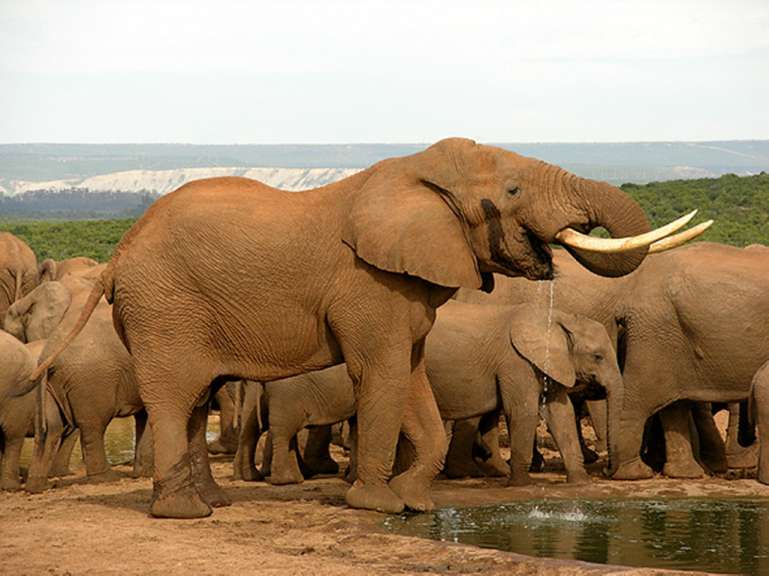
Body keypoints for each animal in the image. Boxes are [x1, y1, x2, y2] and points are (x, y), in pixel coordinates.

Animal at [3, 276, 152, 490]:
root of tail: (49, 353)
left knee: (50, 430)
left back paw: (38, 486)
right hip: (90, 379)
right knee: (93, 426)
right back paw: (105, 478)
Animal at [33, 137, 698, 518]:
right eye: (512, 189)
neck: (412, 171)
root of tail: (119, 252)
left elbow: (412, 378)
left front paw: (415, 502)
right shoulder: (369, 285)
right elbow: (381, 373)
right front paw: (376, 504)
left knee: (199, 399)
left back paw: (213, 502)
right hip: (164, 308)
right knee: (176, 397)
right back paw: (186, 515)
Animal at [459, 242, 769, 480]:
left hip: (667, 337)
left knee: (672, 402)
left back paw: (684, 473)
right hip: (657, 334)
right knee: (639, 399)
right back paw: (634, 473)